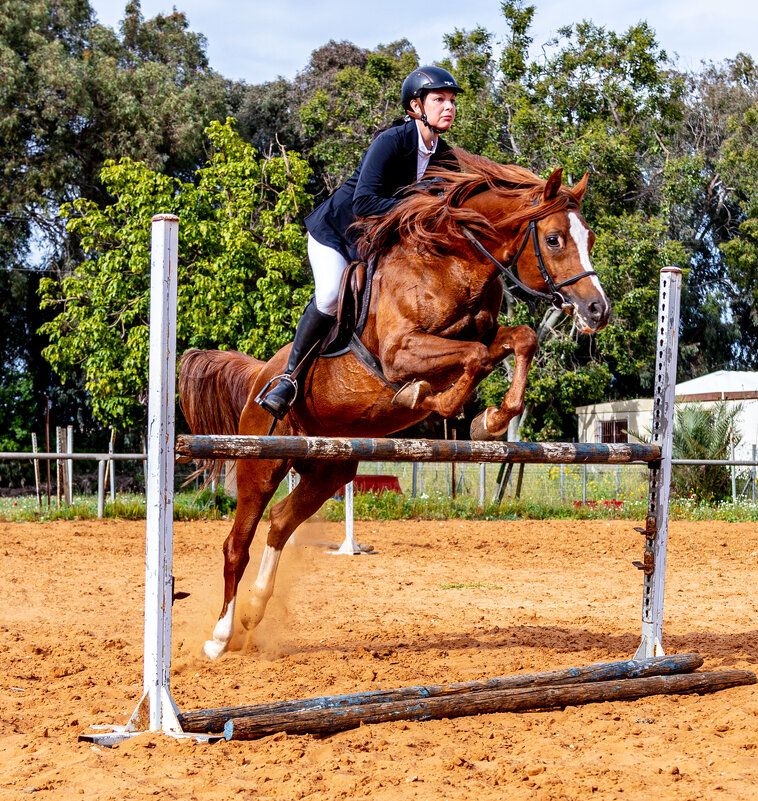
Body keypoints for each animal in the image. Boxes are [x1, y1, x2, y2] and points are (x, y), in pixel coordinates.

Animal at [180, 148, 612, 656]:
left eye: (589, 237)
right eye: (554, 238)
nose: (597, 310)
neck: (454, 264)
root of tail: (258, 377)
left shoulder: (480, 336)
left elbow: (516, 341)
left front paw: (488, 418)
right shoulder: (400, 351)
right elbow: (474, 355)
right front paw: (435, 400)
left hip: (328, 468)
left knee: (281, 523)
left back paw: (254, 612)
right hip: (261, 461)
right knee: (238, 542)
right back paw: (220, 637)